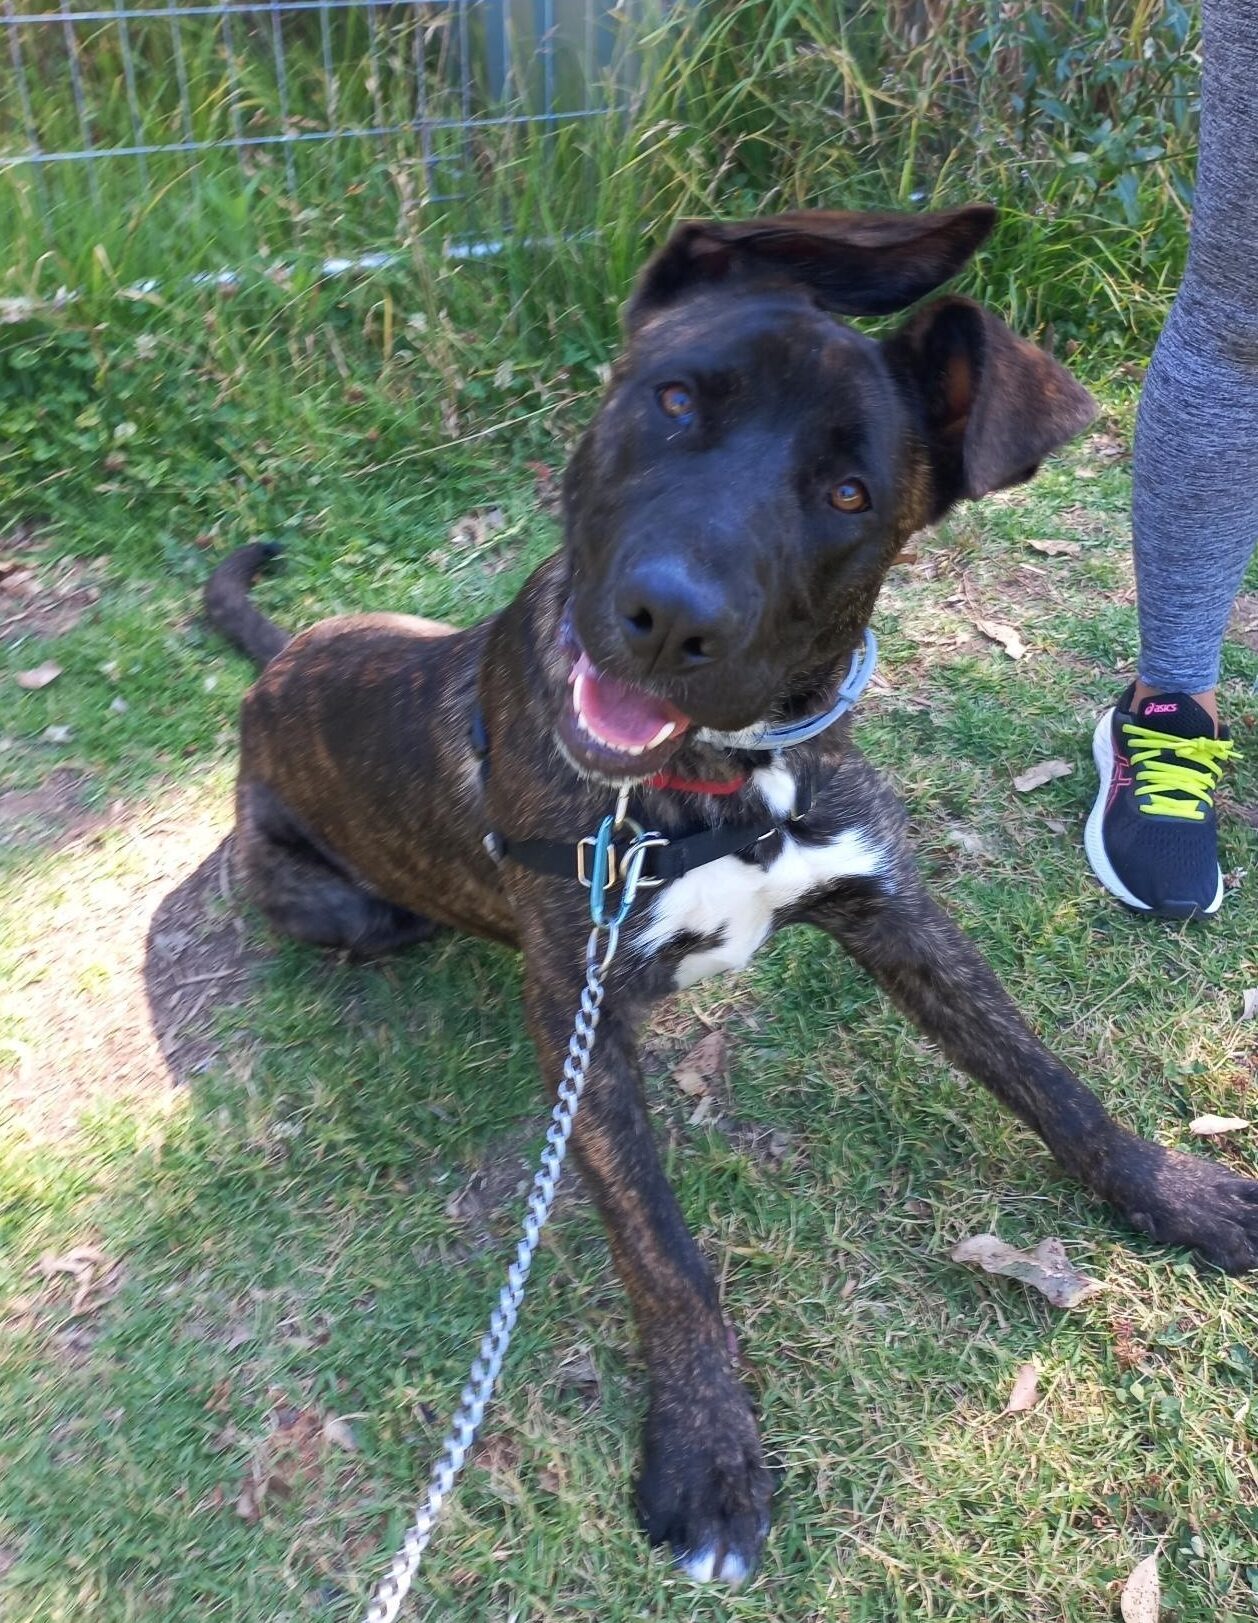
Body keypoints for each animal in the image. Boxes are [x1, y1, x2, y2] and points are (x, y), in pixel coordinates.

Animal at [205, 206, 1258, 1586]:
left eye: (848, 494)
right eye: (673, 400)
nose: (665, 617)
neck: (725, 783)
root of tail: (274, 672)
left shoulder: (893, 909)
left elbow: (1048, 1079)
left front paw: (1175, 1194)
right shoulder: (581, 1015)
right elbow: (665, 1253)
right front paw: (707, 1453)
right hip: (353, 901)